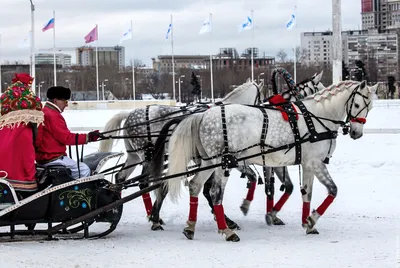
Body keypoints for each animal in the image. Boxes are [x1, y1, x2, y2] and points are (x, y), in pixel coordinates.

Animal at [156, 80, 378, 242]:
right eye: (357, 104)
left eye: (370, 107)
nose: (356, 133)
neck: (314, 119)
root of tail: (203, 115)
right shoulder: (315, 162)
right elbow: (332, 190)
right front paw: (310, 219)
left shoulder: (306, 163)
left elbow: (306, 193)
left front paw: (306, 223)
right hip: (222, 162)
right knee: (214, 193)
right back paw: (226, 230)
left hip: (209, 161)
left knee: (195, 185)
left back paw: (190, 227)